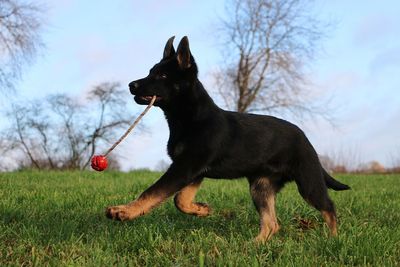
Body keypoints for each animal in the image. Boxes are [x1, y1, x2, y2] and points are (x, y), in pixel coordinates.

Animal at [107, 36, 350, 243]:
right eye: (151, 72)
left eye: (163, 76)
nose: (131, 85)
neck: (190, 117)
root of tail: (305, 139)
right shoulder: (193, 171)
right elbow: (180, 200)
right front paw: (202, 210)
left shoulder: (185, 167)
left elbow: (153, 191)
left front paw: (124, 211)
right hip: (261, 187)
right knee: (271, 223)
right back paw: (254, 245)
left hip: (308, 182)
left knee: (329, 207)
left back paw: (333, 239)